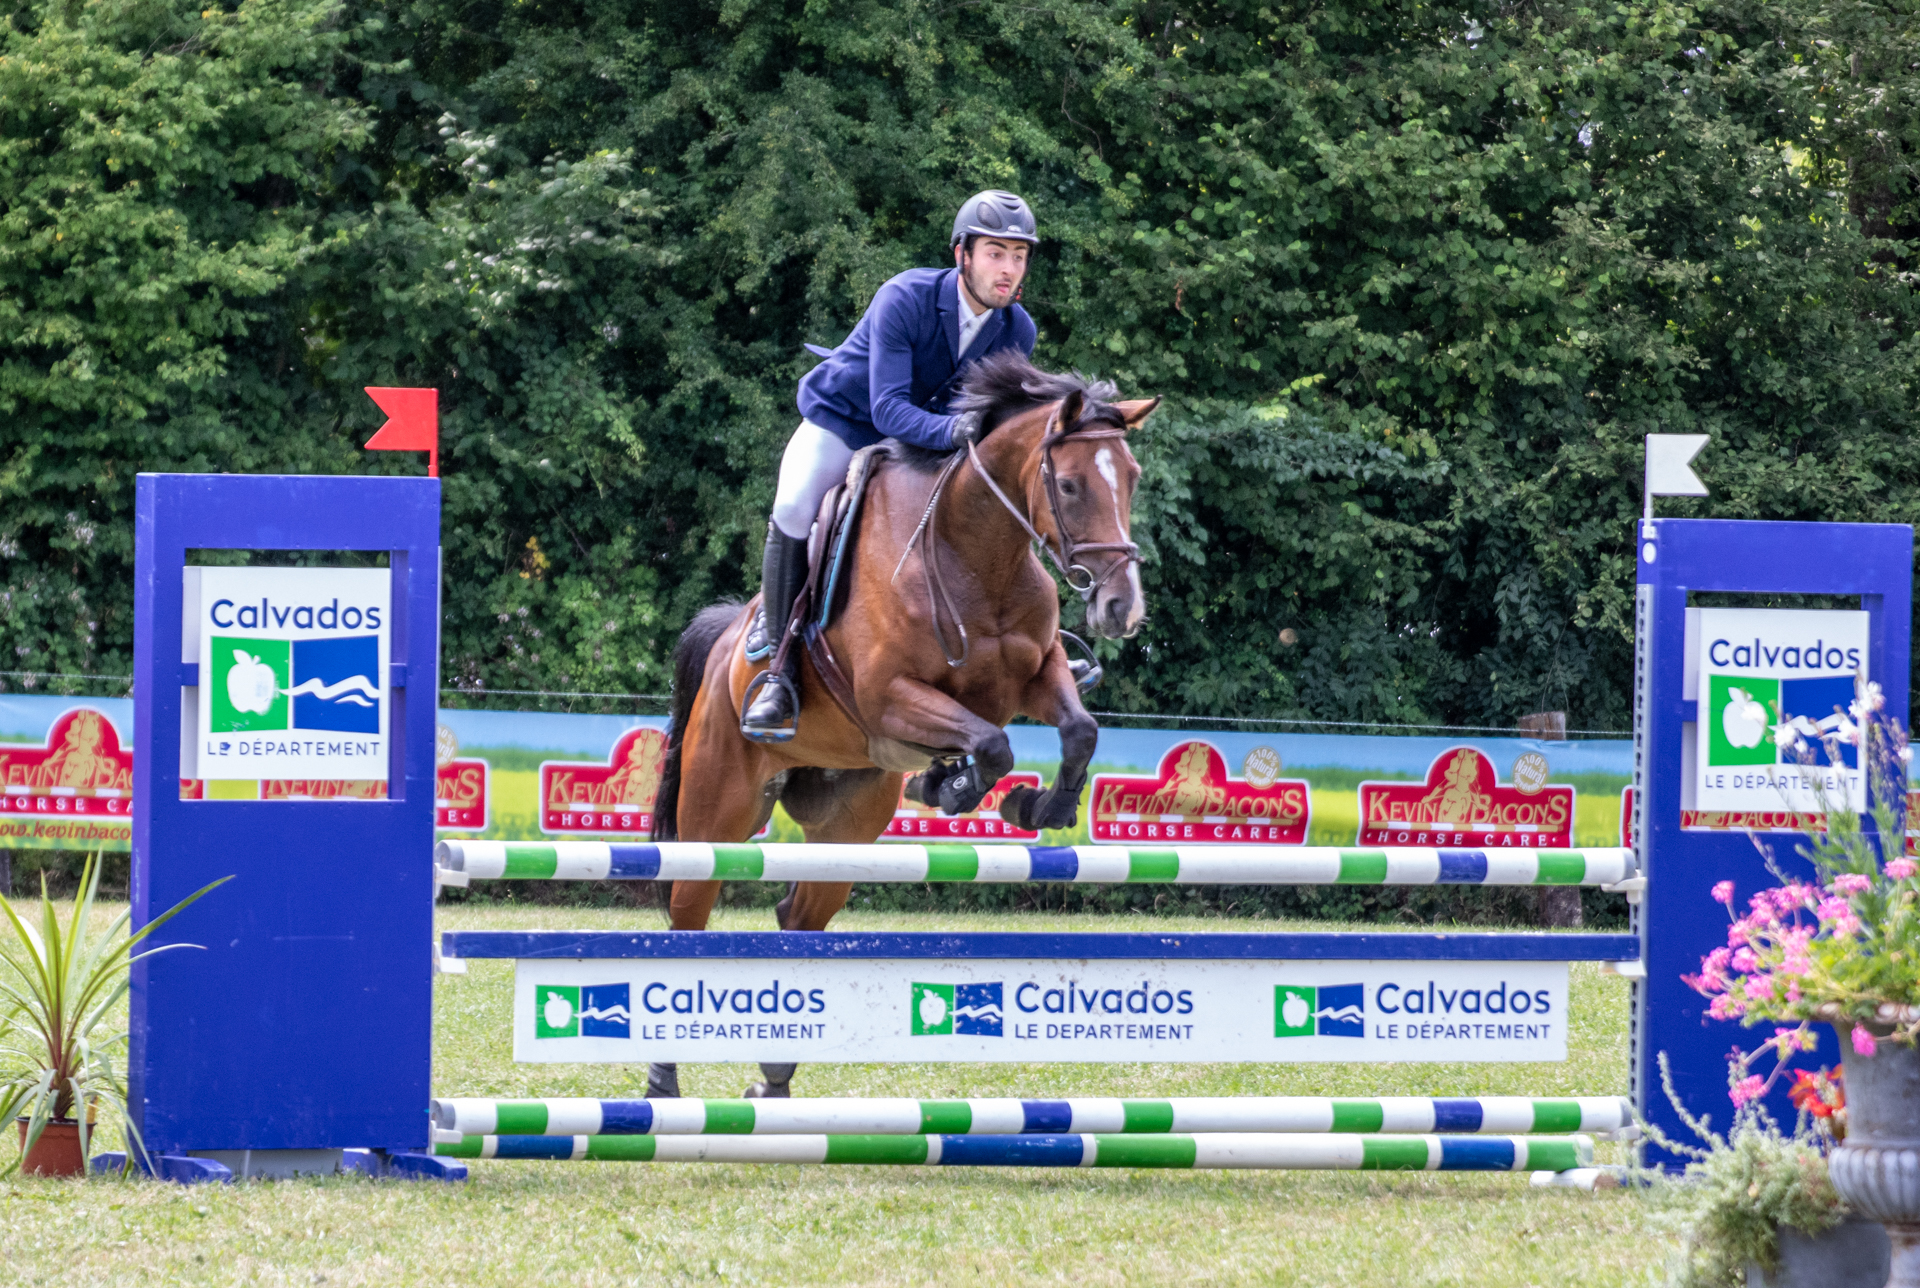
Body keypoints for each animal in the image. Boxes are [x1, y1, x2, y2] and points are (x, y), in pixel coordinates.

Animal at [646, 352, 1158, 1097]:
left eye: (1132, 478)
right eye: (1067, 482)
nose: (1122, 608)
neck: (977, 553)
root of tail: (723, 647)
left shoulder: (1038, 675)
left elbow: (1077, 732)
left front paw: (1034, 806)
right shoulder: (889, 697)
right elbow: (993, 743)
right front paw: (954, 786)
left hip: (847, 821)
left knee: (799, 916)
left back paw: (772, 1082)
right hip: (719, 811)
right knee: (687, 914)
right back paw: (662, 1080)